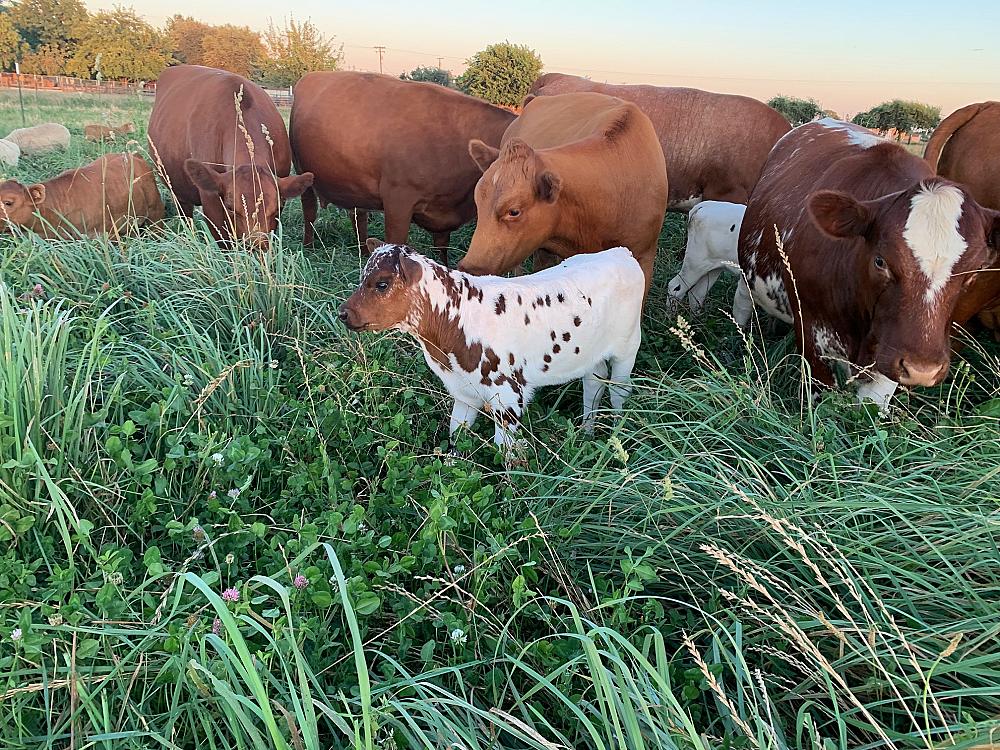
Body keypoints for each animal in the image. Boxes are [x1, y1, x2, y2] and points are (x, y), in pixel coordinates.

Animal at [148, 65, 313, 248]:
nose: (255, 247)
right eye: (231, 208)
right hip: (176, 190)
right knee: (186, 217)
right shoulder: (211, 200)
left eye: (276, 208)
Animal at [290, 71, 516, 264]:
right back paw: (308, 248)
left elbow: (442, 249)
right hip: (303, 173)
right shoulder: (398, 200)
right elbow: (396, 243)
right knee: (309, 212)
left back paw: (363, 251)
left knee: (358, 216)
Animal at [339, 241, 644, 448]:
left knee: (619, 390)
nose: (343, 313)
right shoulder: (463, 392)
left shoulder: (508, 396)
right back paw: (587, 432)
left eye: (382, 283)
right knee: (594, 384)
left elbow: (506, 453)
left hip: (628, 346)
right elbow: (455, 436)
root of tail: (621, 253)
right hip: (590, 353)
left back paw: (615, 435)